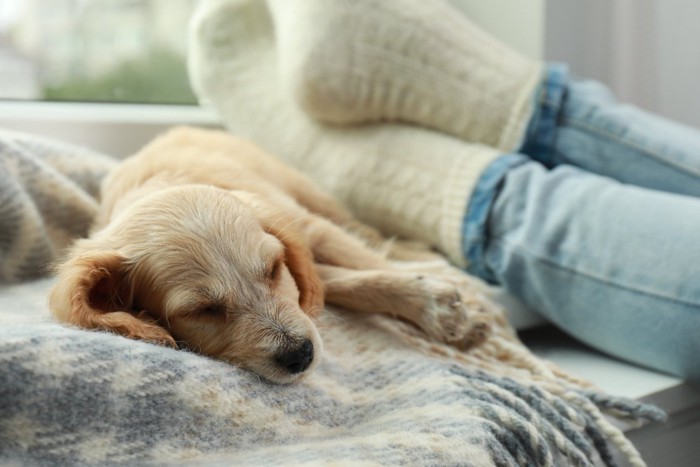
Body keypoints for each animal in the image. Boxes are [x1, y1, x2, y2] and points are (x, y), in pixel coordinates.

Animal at [49, 127, 490, 384]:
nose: (301, 355)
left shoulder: (307, 229)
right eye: (202, 311)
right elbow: (336, 283)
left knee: (367, 234)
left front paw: (446, 308)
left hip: (312, 195)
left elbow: (366, 264)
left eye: (274, 269)